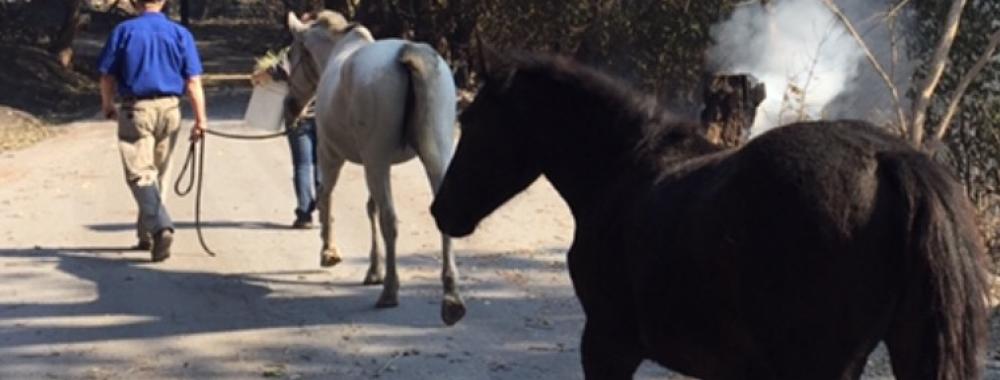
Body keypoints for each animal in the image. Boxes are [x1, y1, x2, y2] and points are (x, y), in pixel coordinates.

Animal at [286, 10, 464, 326]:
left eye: (291, 55)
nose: (290, 107)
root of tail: (409, 53)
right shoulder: (377, 163)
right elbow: (371, 207)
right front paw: (373, 270)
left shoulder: (332, 154)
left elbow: (326, 194)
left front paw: (329, 251)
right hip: (433, 154)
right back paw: (451, 298)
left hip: (375, 160)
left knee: (389, 220)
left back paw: (390, 291)